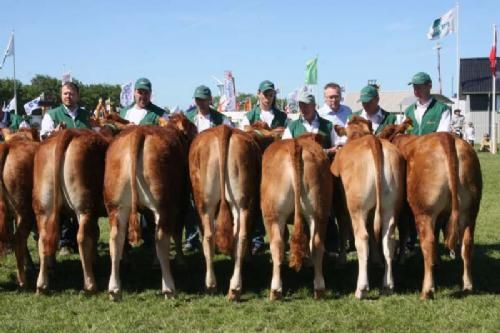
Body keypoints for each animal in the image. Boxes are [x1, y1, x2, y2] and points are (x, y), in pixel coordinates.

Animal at [104, 113, 196, 300]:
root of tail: (137, 133)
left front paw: (154, 262)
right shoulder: (181, 203)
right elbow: (176, 233)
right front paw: (181, 261)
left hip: (116, 206)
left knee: (116, 240)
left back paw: (114, 289)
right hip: (164, 206)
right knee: (162, 240)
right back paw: (169, 288)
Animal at [188, 124, 262, 298]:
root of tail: (223, 129)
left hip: (204, 202)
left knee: (208, 236)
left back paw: (210, 285)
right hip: (243, 203)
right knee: (240, 236)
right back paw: (235, 288)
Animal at [262, 134, 332, 298]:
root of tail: (296, 145)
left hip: (272, 215)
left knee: (277, 245)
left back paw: (275, 290)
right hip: (319, 211)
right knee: (316, 243)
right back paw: (319, 289)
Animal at [332, 116, 406, 298]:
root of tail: (373, 141)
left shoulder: (340, 207)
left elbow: (343, 232)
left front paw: (341, 260)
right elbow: (374, 233)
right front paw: (377, 260)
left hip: (357, 208)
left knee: (362, 238)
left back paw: (361, 288)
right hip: (390, 206)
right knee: (388, 239)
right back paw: (387, 285)